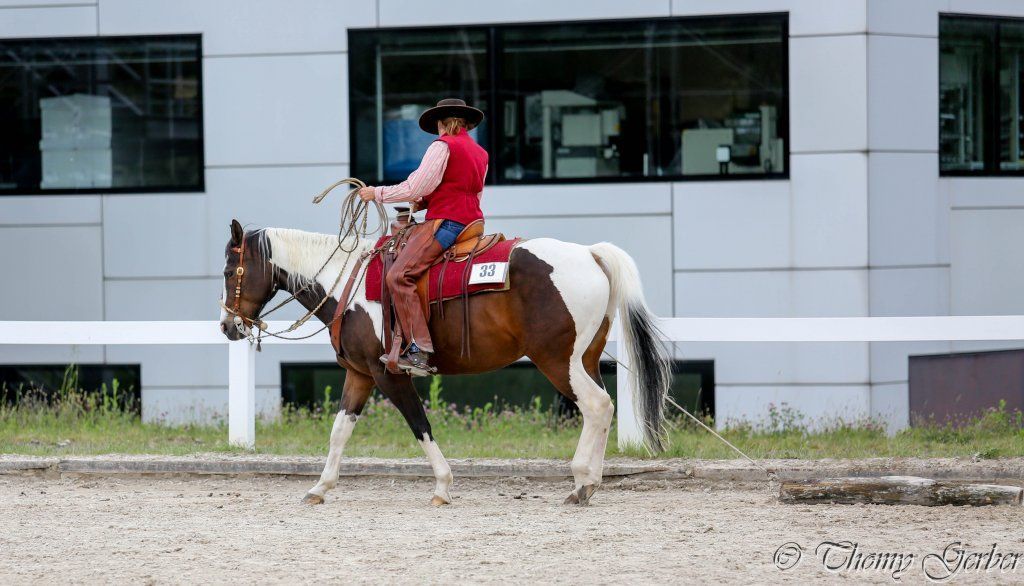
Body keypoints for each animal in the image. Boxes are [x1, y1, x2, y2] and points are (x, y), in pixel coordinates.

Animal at [218, 218, 670, 506]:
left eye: (228, 271)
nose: (227, 326)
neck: (346, 282)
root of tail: (591, 255)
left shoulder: (388, 374)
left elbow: (420, 424)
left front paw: (442, 486)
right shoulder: (360, 375)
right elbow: (339, 432)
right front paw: (320, 487)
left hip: (559, 361)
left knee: (597, 406)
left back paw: (581, 484)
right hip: (585, 359)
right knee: (603, 409)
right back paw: (589, 482)